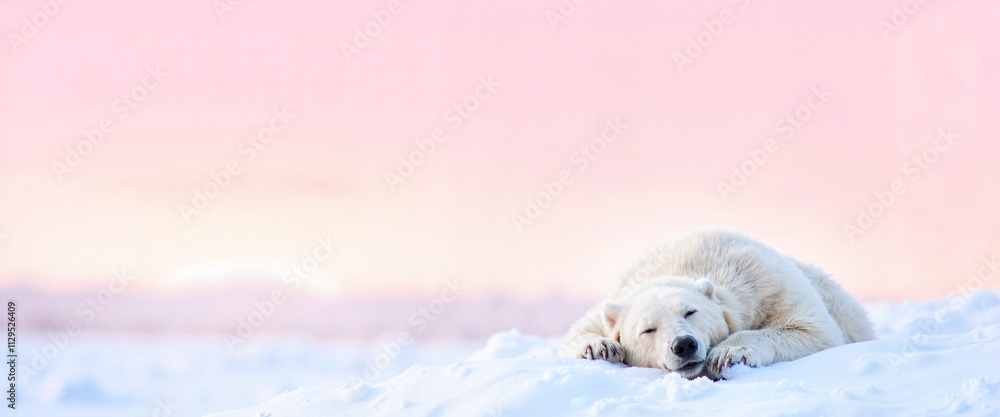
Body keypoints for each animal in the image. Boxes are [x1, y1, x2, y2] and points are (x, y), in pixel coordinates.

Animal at [559, 228, 874, 380]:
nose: (684, 345)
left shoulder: (764, 283)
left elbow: (812, 329)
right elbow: (579, 330)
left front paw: (728, 354)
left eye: (690, 311)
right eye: (648, 330)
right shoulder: (621, 293)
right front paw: (601, 347)